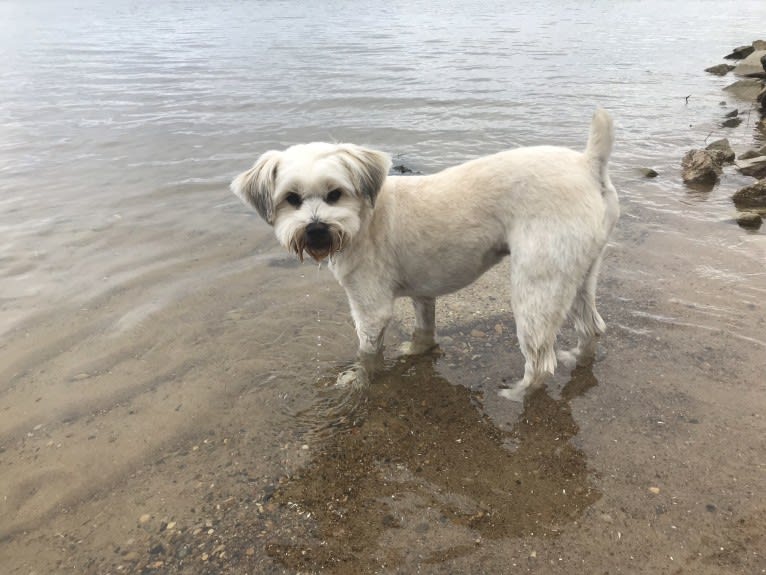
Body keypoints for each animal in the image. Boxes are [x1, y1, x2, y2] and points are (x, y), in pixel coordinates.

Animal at [231, 109, 620, 400]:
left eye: (335, 194)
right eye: (291, 199)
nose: (315, 230)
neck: (365, 218)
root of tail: (588, 164)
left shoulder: (370, 308)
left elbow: (368, 353)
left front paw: (358, 380)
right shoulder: (422, 294)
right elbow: (424, 328)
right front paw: (418, 351)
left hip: (538, 285)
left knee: (540, 362)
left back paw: (516, 393)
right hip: (580, 273)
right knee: (592, 326)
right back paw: (577, 357)